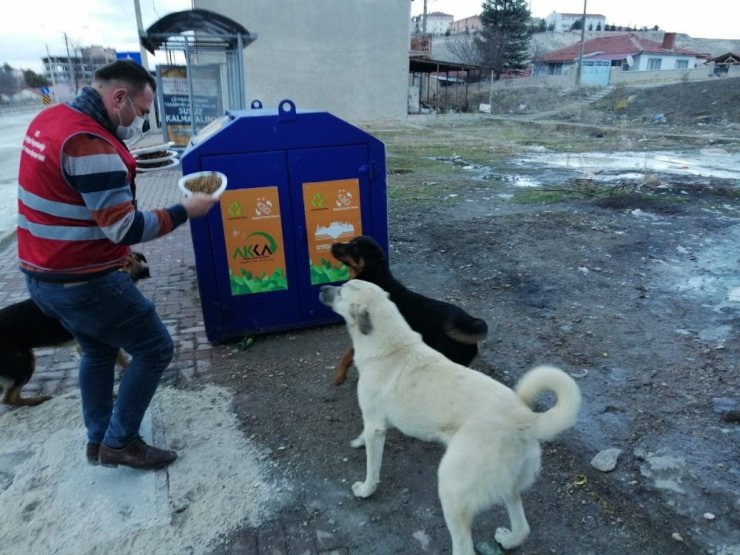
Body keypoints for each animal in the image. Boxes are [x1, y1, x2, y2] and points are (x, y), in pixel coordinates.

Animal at [0, 252, 150, 408]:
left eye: (137, 259)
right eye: (126, 262)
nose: (146, 270)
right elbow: (123, 361)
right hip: (23, 363)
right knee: (8, 399)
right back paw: (35, 400)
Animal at [320, 282, 580, 555]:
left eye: (341, 291)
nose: (323, 288)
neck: (392, 346)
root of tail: (525, 420)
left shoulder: (375, 426)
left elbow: (372, 467)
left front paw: (366, 489)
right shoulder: (375, 422)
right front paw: (358, 442)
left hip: (452, 489)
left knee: (464, 545)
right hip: (507, 484)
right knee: (522, 526)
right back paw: (509, 540)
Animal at [330, 236, 486, 386]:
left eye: (355, 247)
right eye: (351, 241)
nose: (333, 244)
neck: (375, 278)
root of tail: (471, 322)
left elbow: (347, 355)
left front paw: (340, 376)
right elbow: (347, 355)